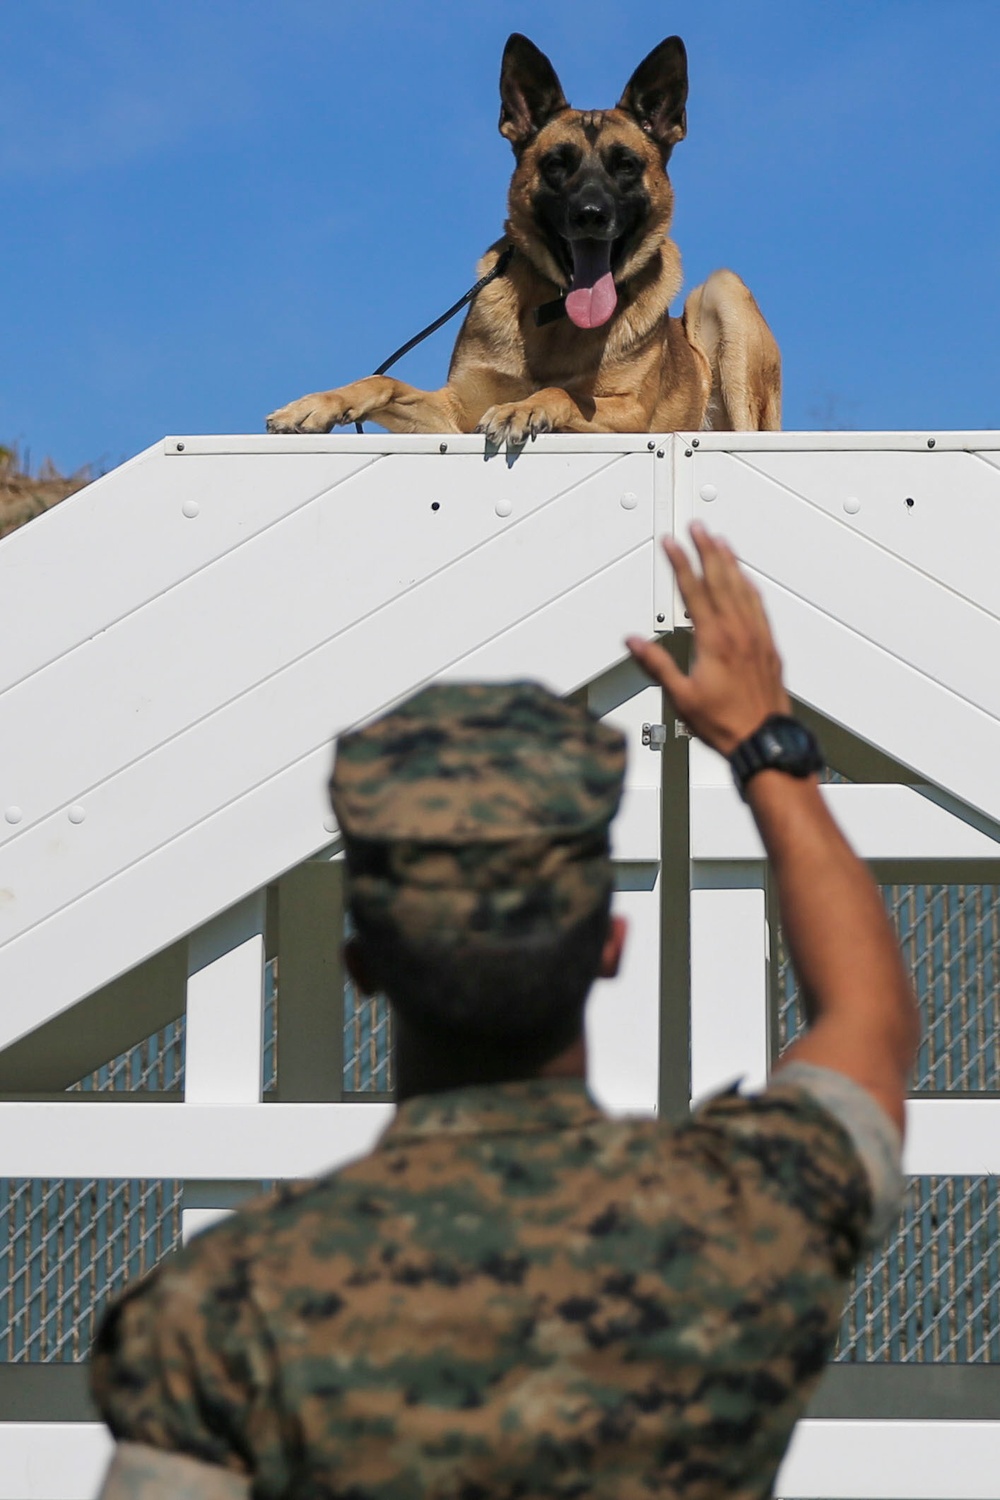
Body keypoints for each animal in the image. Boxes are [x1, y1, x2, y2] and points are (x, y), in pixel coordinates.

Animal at [265, 33, 779, 444]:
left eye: (625, 166)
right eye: (556, 164)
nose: (590, 216)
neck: (557, 314)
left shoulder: (630, 412)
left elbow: (563, 393)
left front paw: (523, 408)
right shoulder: (455, 414)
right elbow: (383, 383)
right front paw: (316, 404)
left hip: (724, 294)